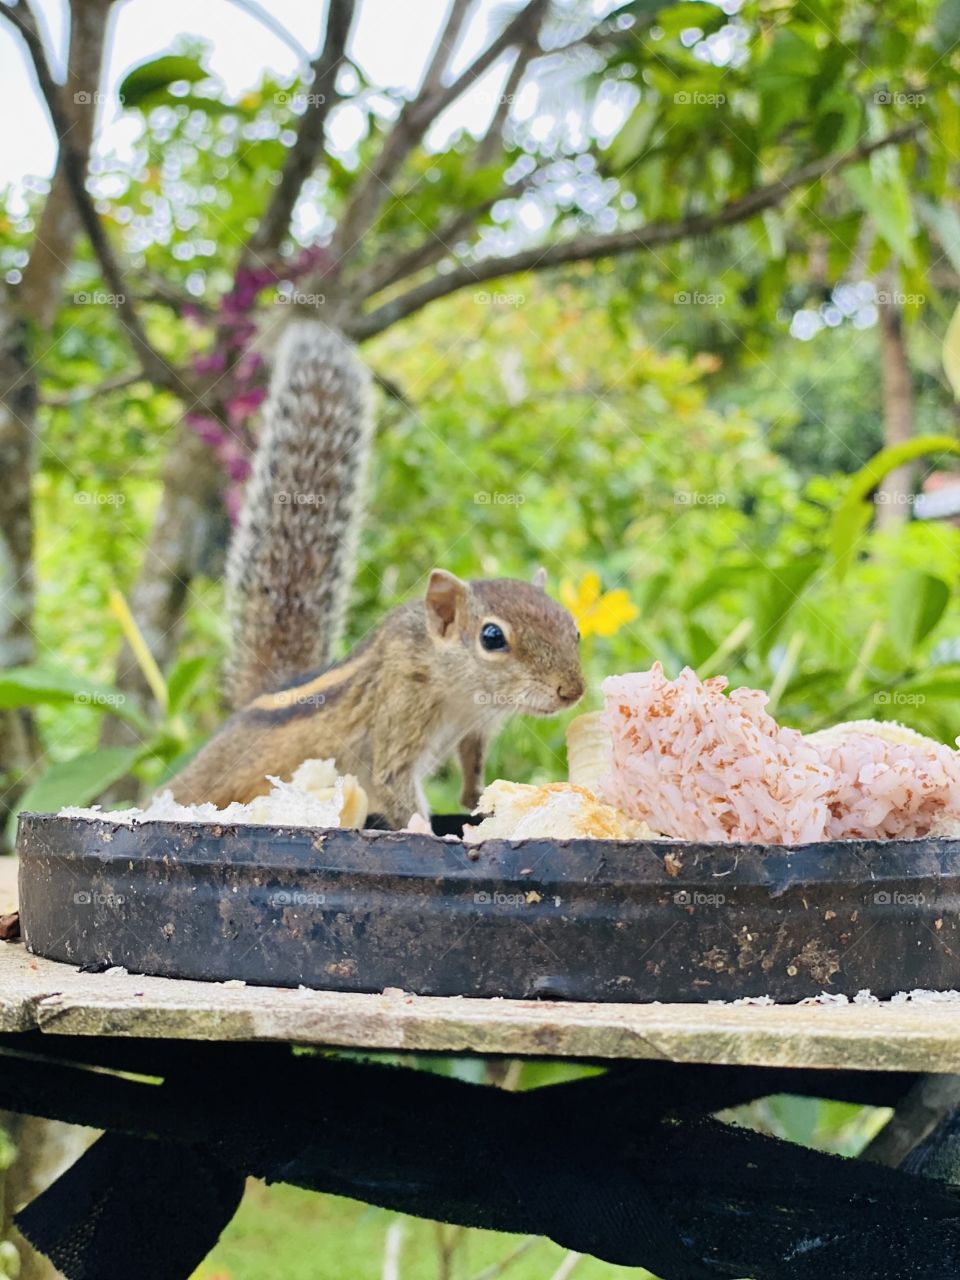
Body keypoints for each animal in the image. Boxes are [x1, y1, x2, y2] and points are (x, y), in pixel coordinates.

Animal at [166, 321, 585, 828]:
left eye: (574, 629)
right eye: (492, 637)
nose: (572, 691)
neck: (461, 693)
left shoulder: (476, 727)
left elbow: (472, 764)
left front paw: (477, 798)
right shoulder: (397, 714)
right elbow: (393, 784)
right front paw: (429, 831)